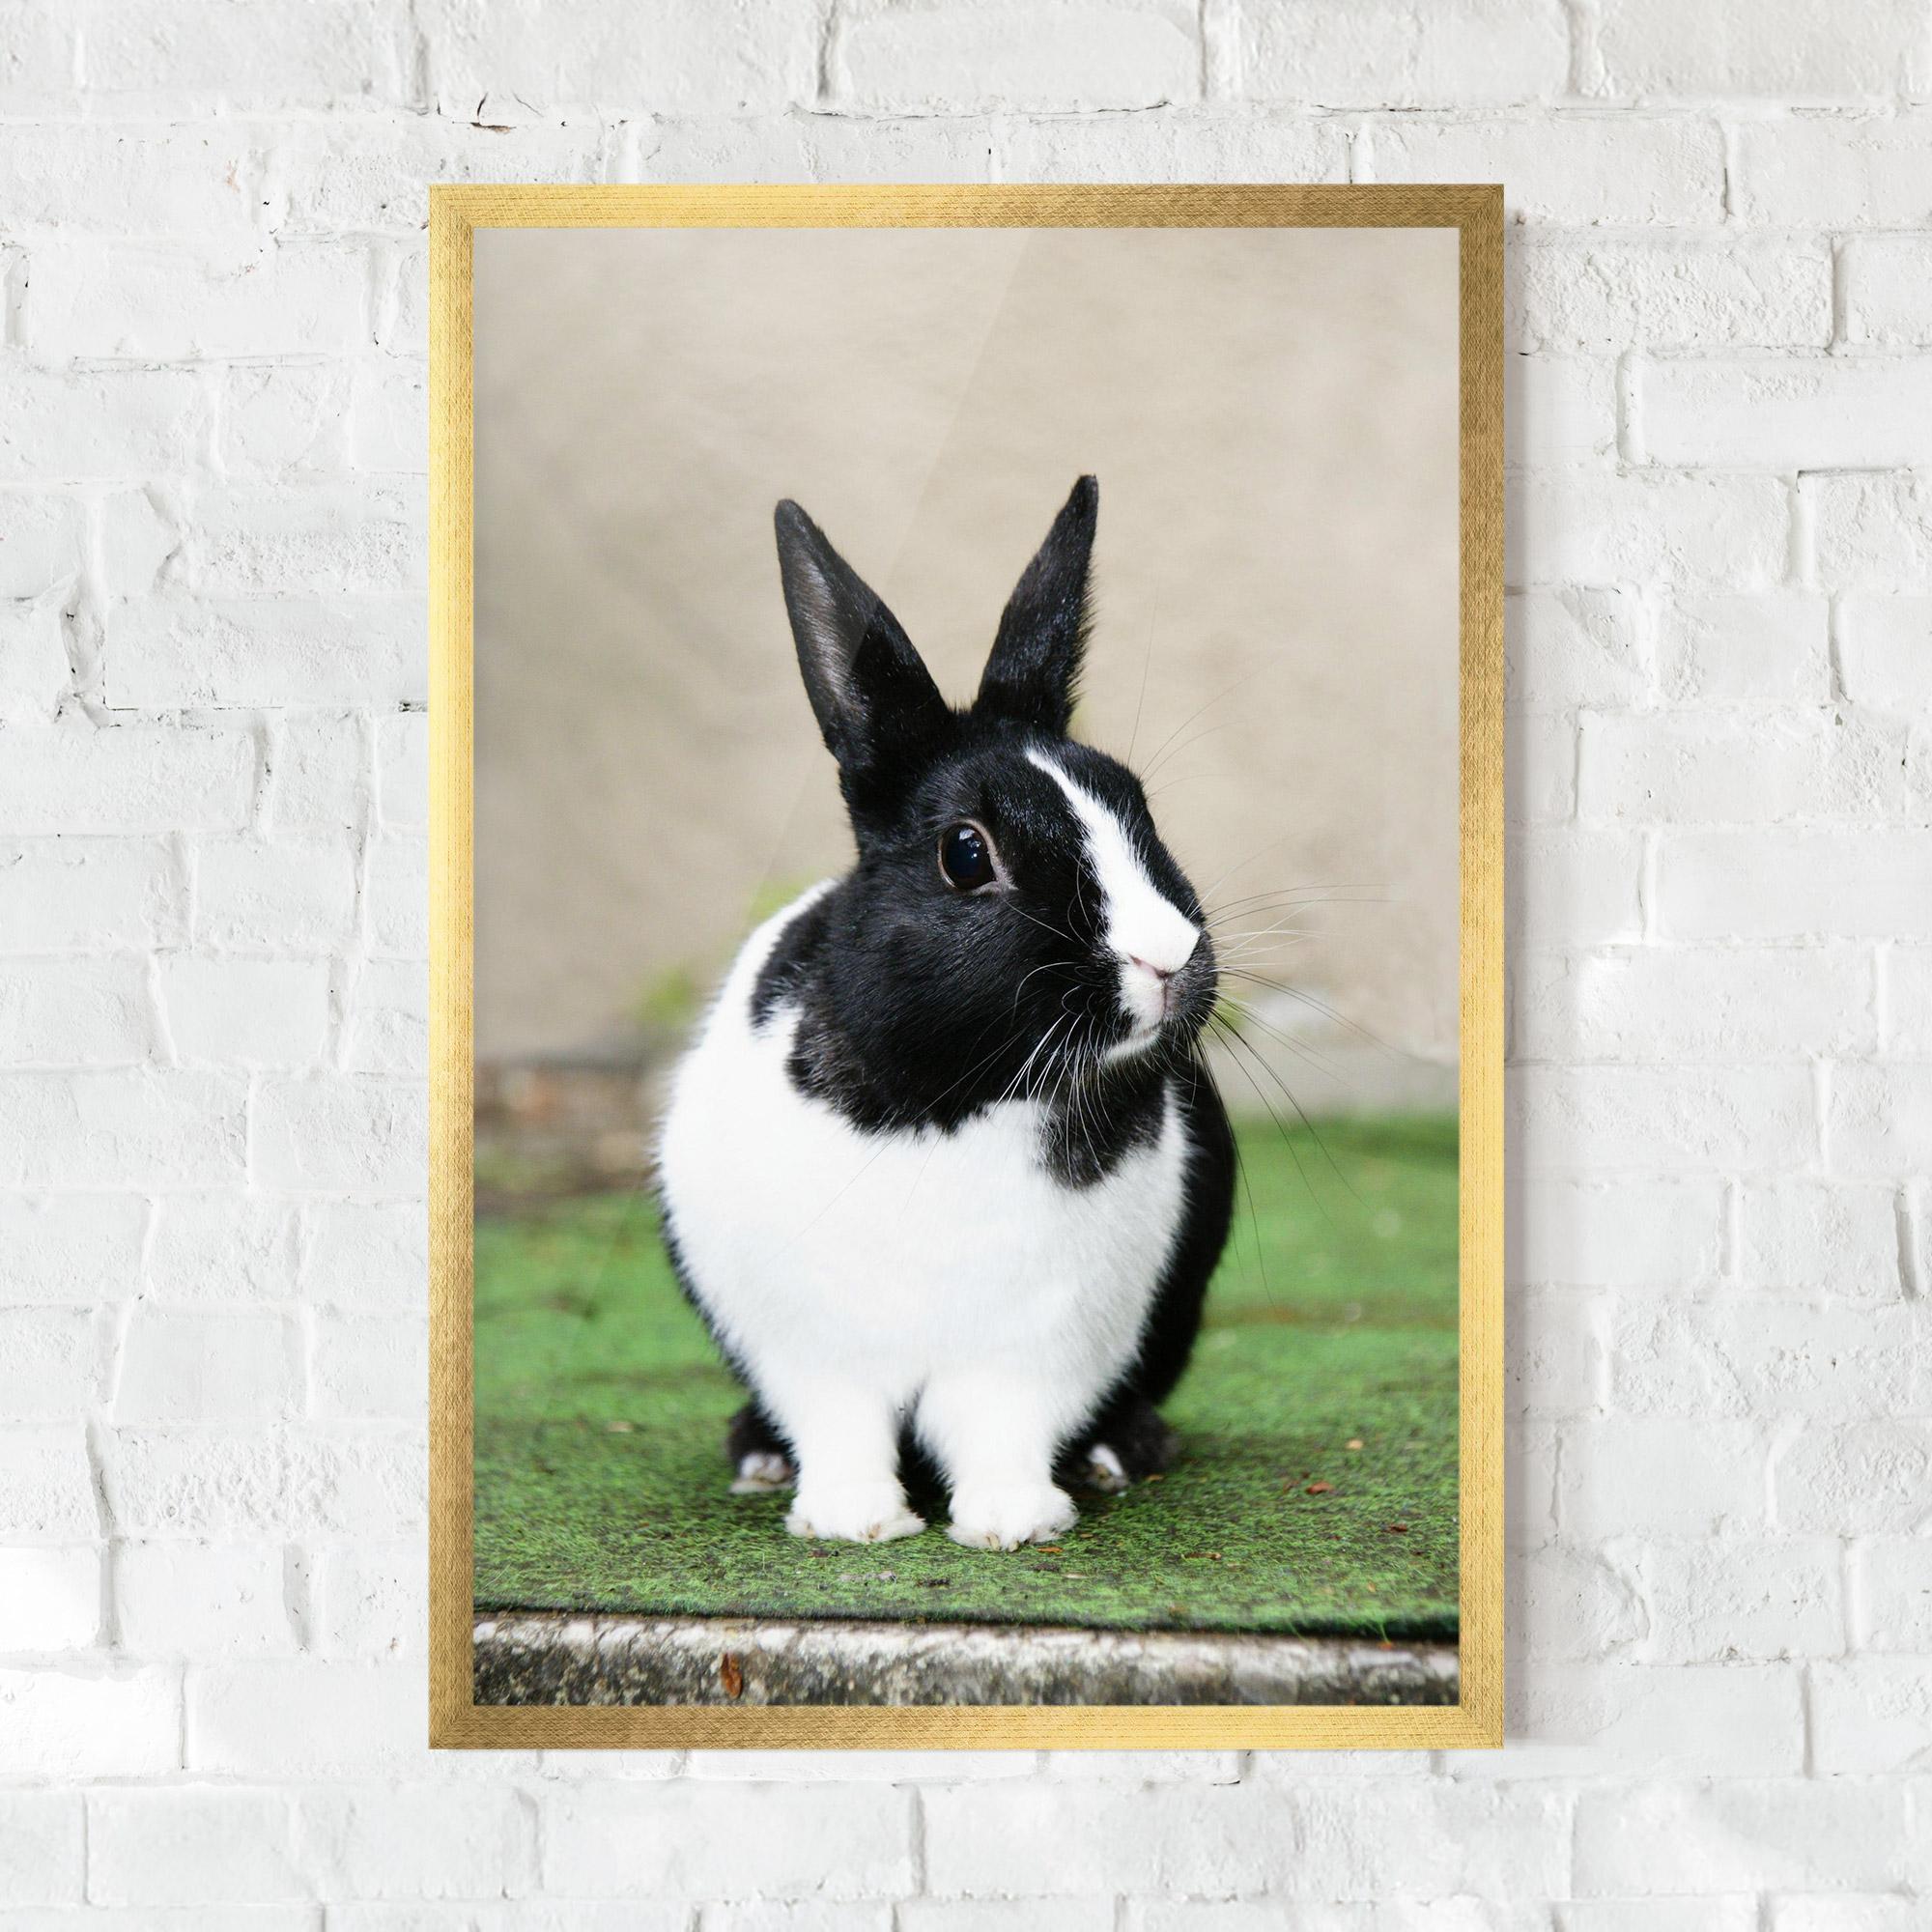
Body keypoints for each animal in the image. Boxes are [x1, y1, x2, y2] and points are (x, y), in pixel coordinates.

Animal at [656, 476, 1235, 1549]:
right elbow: (840, 1427)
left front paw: (1012, 1522)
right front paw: (852, 1522)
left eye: (1136, 804)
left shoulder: (1034, 1347)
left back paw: (1119, 1452)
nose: (1169, 957)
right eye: (967, 854)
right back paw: (757, 1456)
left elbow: (1001, 1428)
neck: (955, 1098)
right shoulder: (814, 1348)